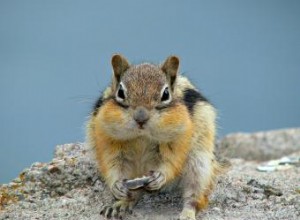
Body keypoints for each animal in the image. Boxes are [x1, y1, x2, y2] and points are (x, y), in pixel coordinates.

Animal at [86, 54, 227, 219]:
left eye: (165, 94)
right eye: (120, 92)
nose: (141, 118)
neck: (141, 136)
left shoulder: (179, 137)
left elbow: (172, 160)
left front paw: (161, 176)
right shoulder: (107, 138)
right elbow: (111, 162)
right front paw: (116, 186)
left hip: (199, 165)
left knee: (195, 195)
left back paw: (187, 213)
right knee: (134, 194)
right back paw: (120, 204)